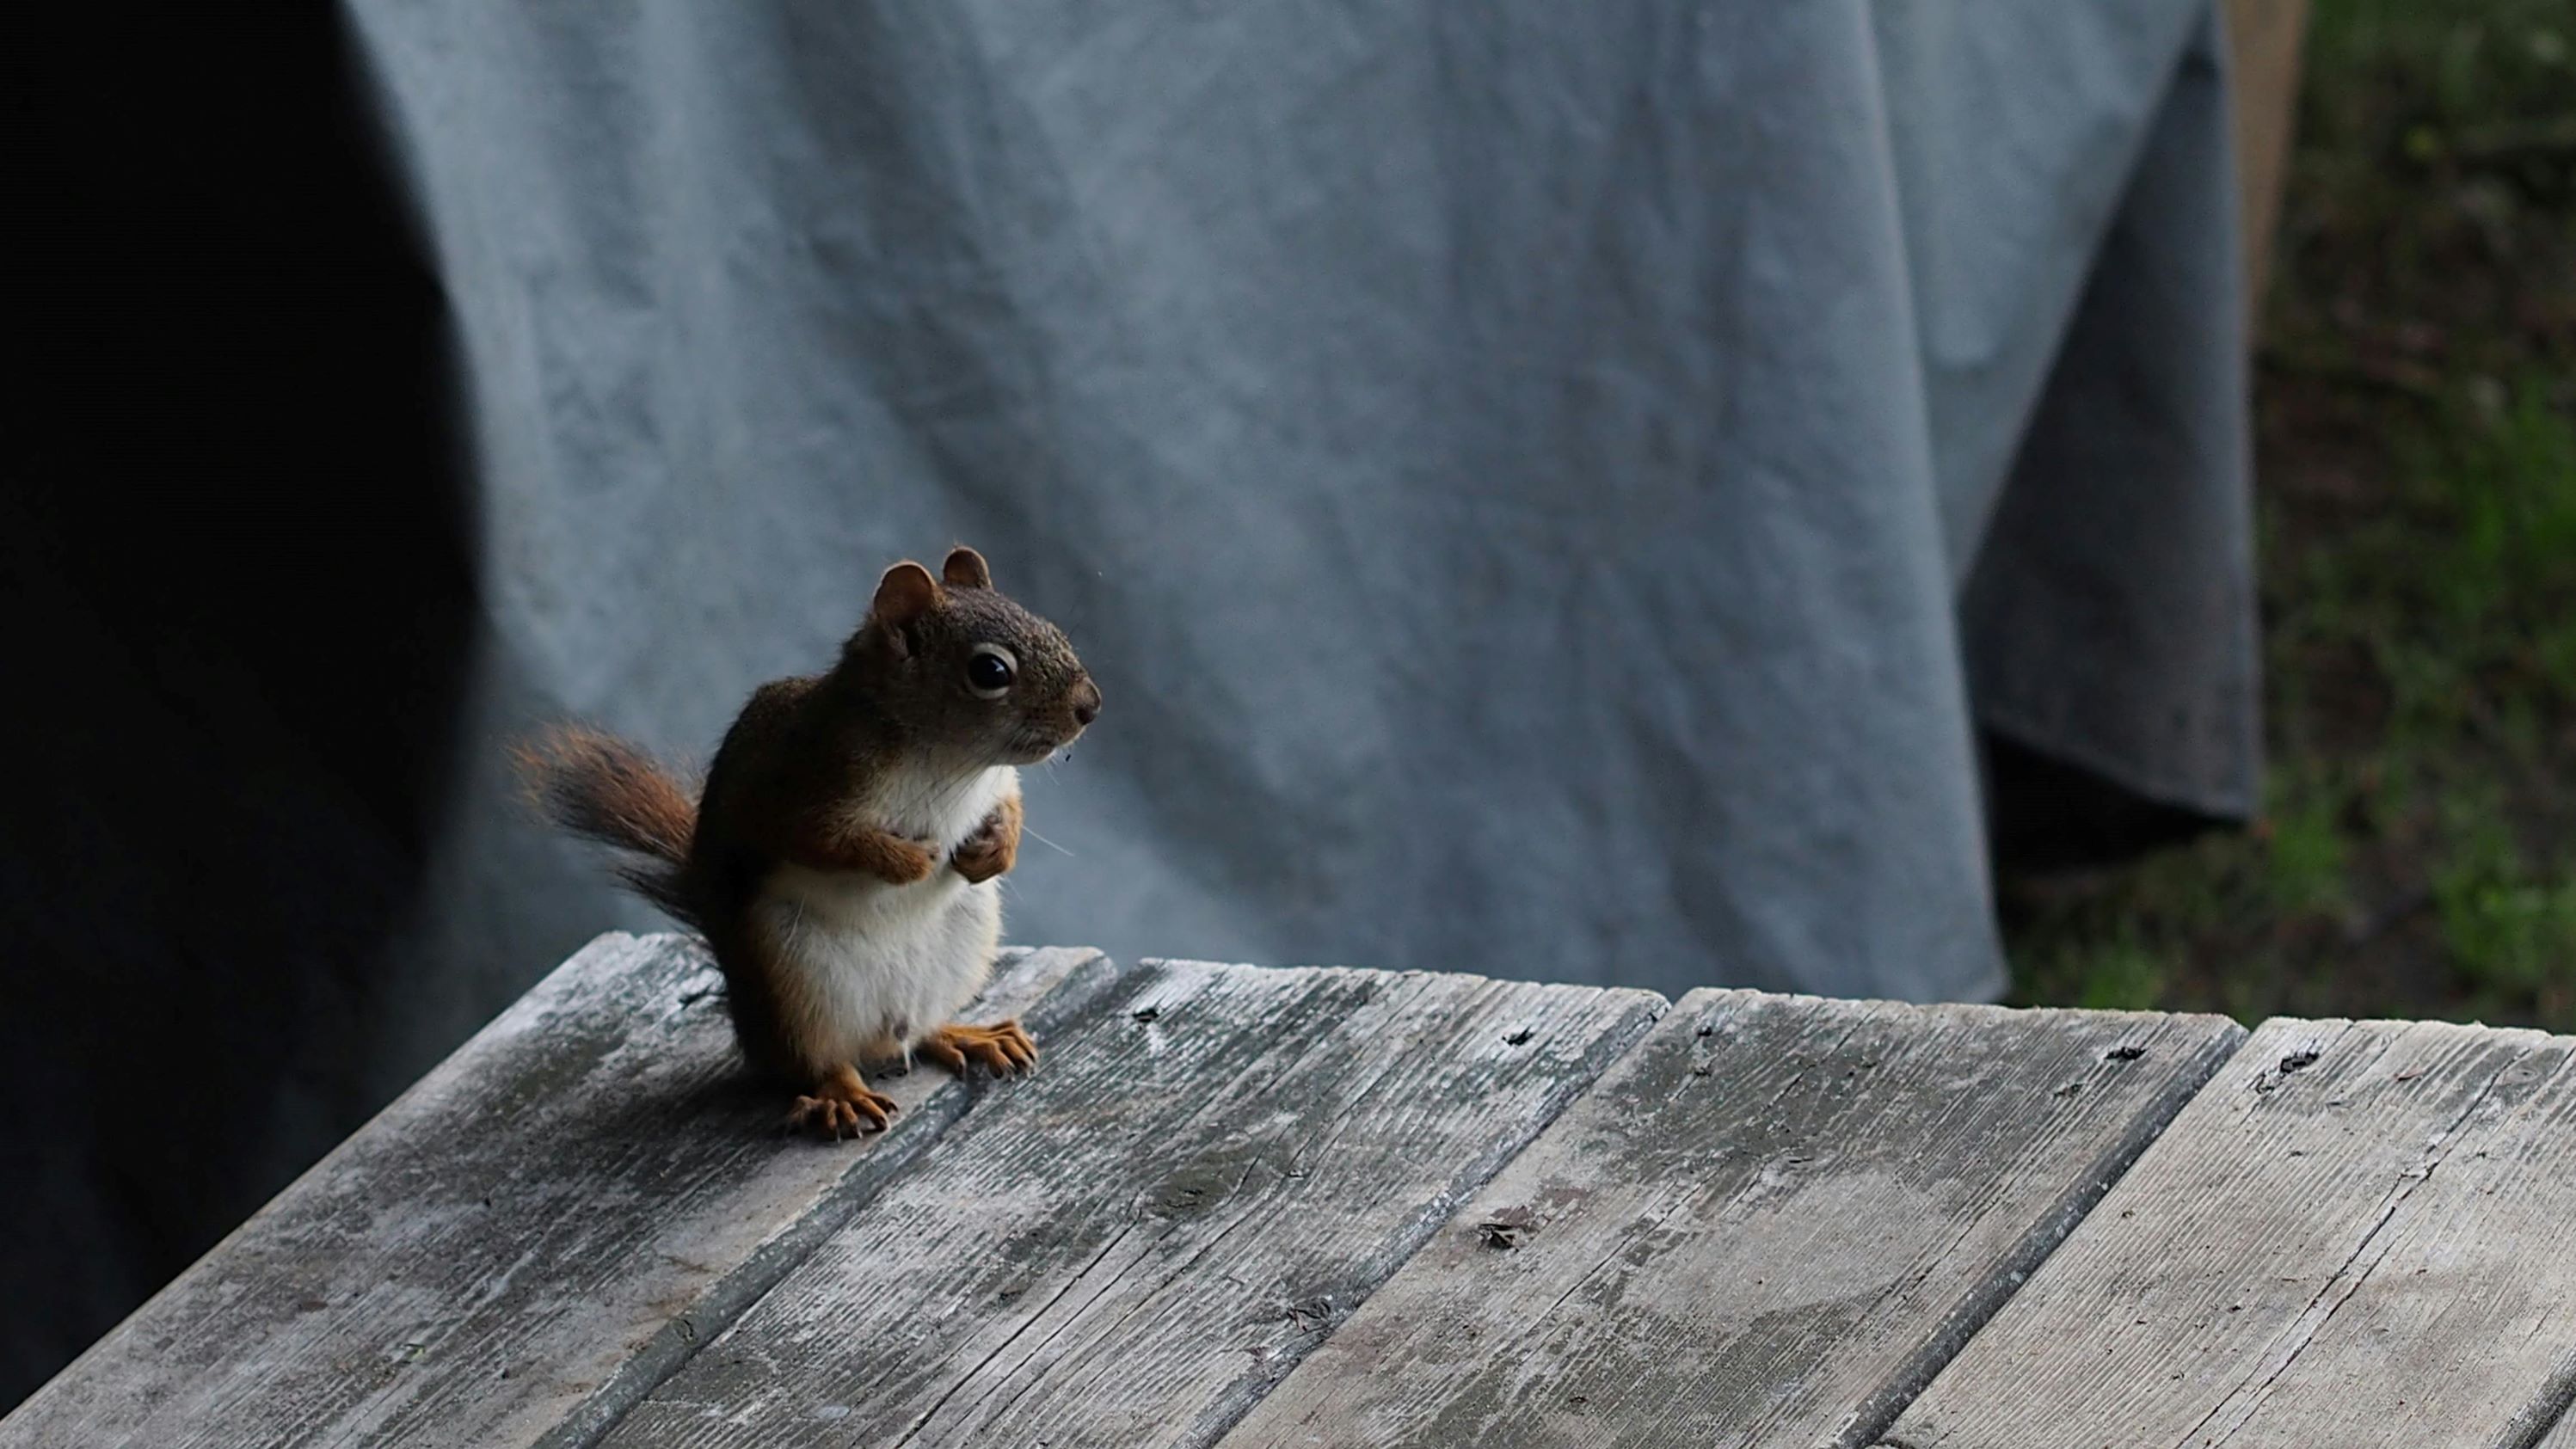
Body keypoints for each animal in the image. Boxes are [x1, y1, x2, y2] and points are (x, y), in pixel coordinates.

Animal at [516, 546, 1101, 1140]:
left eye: (1052, 629)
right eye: (990, 671)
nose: (1091, 706)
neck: (947, 760)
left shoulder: (997, 785)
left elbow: (1011, 808)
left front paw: (994, 849)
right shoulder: (800, 787)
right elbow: (826, 842)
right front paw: (910, 861)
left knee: (919, 1032)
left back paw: (967, 1034)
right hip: (793, 980)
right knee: (816, 1062)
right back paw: (842, 1096)